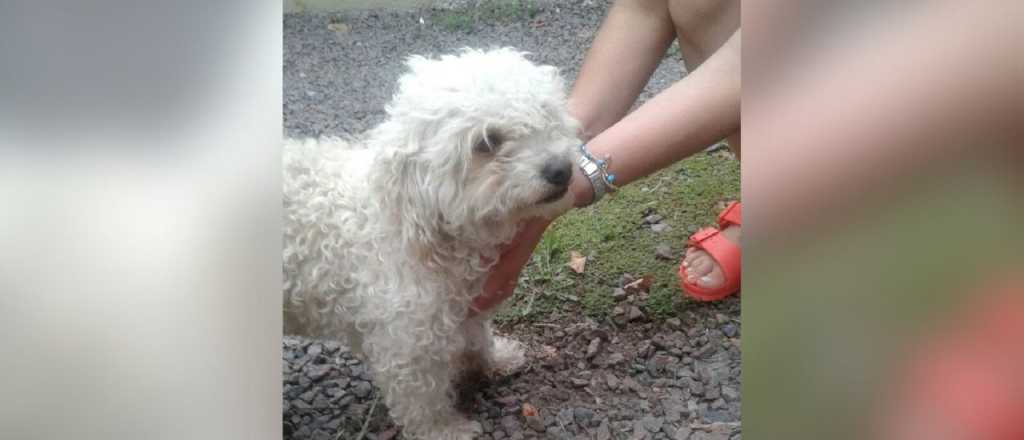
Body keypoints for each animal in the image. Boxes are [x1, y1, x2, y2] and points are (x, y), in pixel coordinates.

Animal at [284, 48, 581, 440]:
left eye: (545, 113)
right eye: (486, 142)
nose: (561, 169)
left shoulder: (463, 306)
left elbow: (477, 337)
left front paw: (496, 358)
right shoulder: (406, 342)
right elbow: (420, 401)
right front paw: (444, 430)